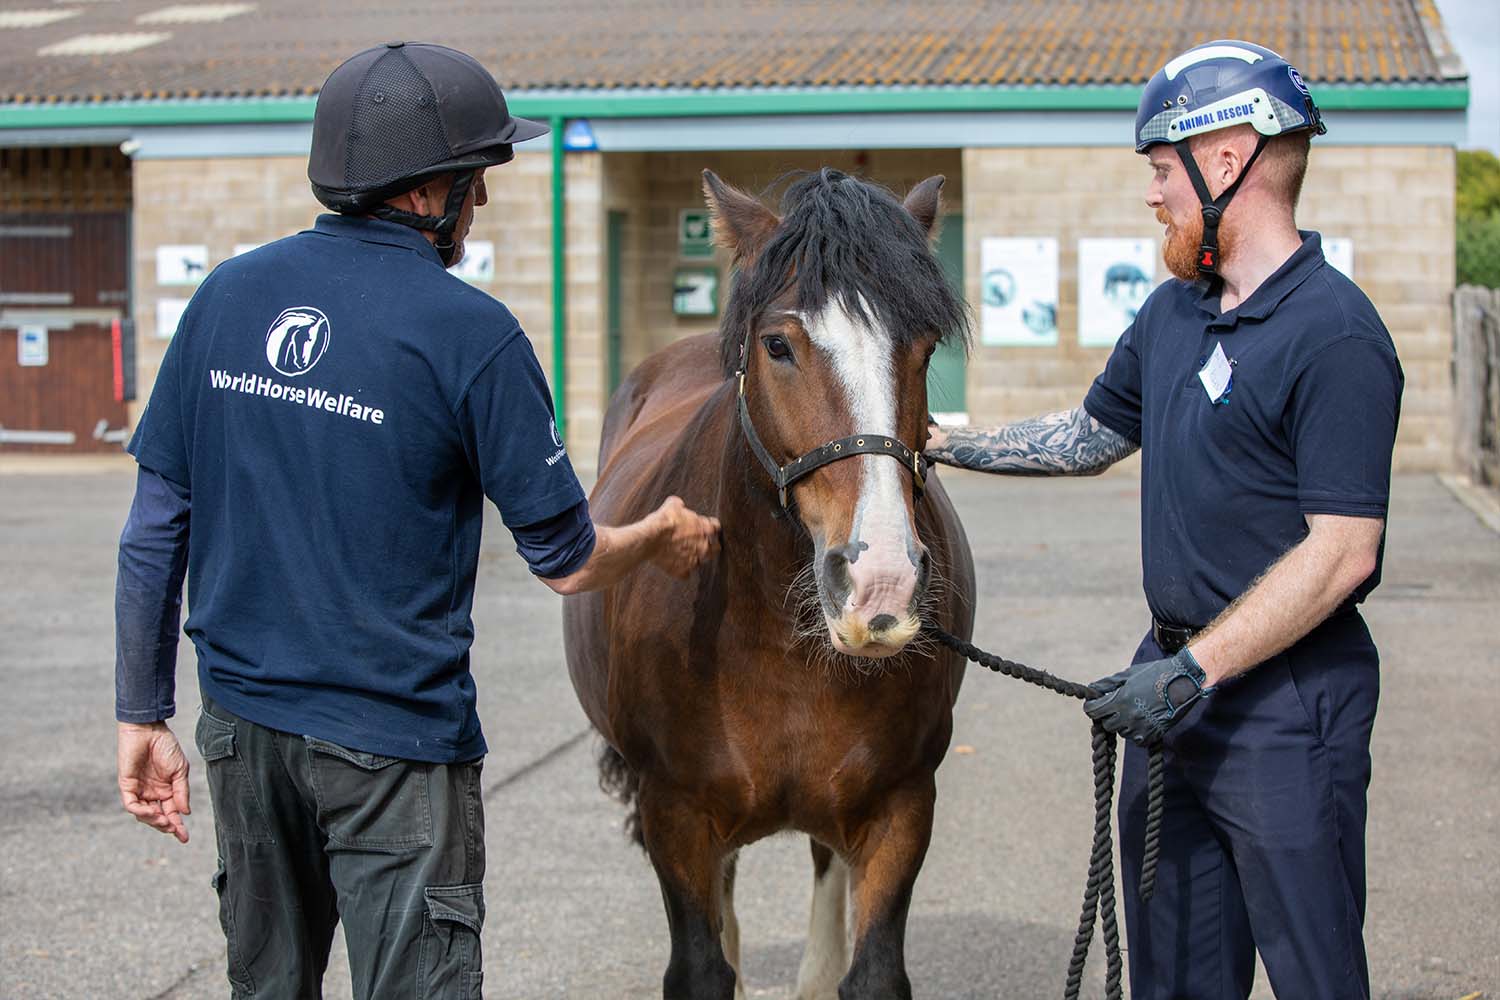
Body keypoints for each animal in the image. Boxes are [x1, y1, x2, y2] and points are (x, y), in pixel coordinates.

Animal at [563, 168, 976, 1000]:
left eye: (923, 347)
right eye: (779, 345)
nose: (880, 583)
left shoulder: (902, 804)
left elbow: (870, 969)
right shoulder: (675, 812)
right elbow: (702, 965)